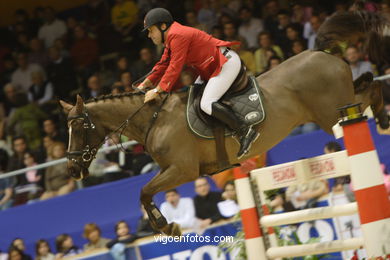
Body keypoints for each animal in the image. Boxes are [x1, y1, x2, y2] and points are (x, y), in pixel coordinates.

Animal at [60, 11, 390, 237]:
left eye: (79, 128)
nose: (73, 170)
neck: (153, 118)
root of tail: (318, 50)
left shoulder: (182, 170)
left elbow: (143, 191)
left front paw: (168, 227)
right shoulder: (173, 170)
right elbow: (145, 193)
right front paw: (168, 226)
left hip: (332, 113)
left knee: (366, 94)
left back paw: (382, 121)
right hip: (337, 103)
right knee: (369, 83)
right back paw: (382, 118)